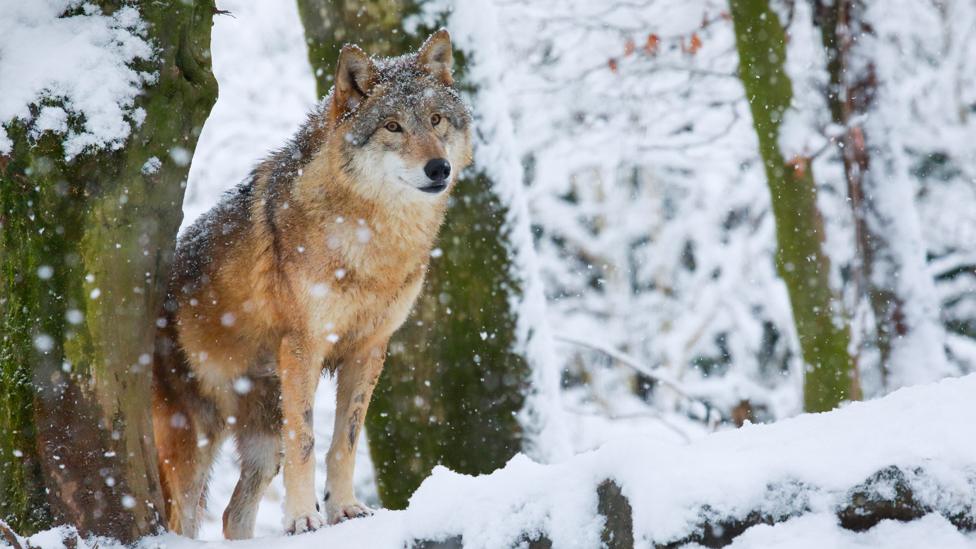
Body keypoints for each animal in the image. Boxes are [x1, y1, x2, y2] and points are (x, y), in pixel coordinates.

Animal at [151, 28, 470, 536]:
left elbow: (346, 440)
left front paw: (345, 509)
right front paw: (304, 518)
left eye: (436, 120)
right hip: (192, 443)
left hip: (262, 438)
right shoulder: (304, 346)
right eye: (392, 126)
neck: (373, 239)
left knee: (232, 514)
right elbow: (306, 438)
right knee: (180, 519)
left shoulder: (369, 348)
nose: (439, 168)